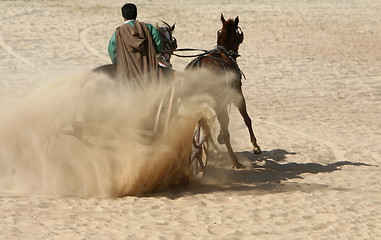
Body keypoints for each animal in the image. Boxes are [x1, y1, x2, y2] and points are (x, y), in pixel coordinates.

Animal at [185, 14, 262, 170]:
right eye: (239, 35)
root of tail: (198, 67)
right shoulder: (238, 94)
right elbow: (247, 119)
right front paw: (255, 146)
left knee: (203, 126)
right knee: (225, 131)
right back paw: (235, 162)